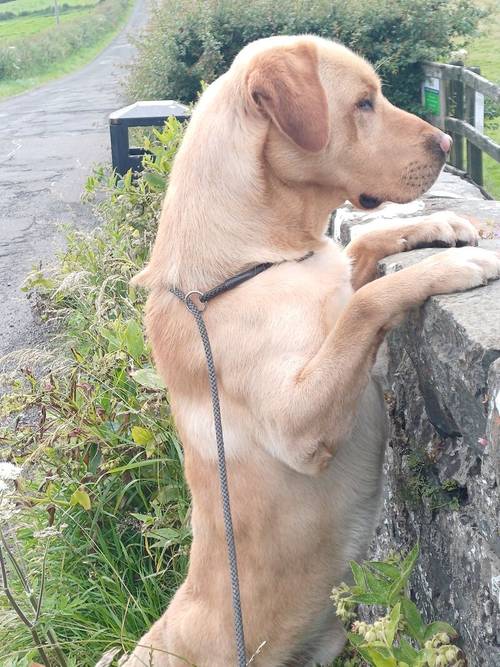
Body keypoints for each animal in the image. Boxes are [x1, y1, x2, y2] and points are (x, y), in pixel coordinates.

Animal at [125, 35, 500, 667]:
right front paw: (453, 265)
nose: (449, 144)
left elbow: (364, 250)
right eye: (364, 103)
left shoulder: (334, 269)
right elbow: (366, 302)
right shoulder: (298, 425)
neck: (255, 256)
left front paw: (445, 226)